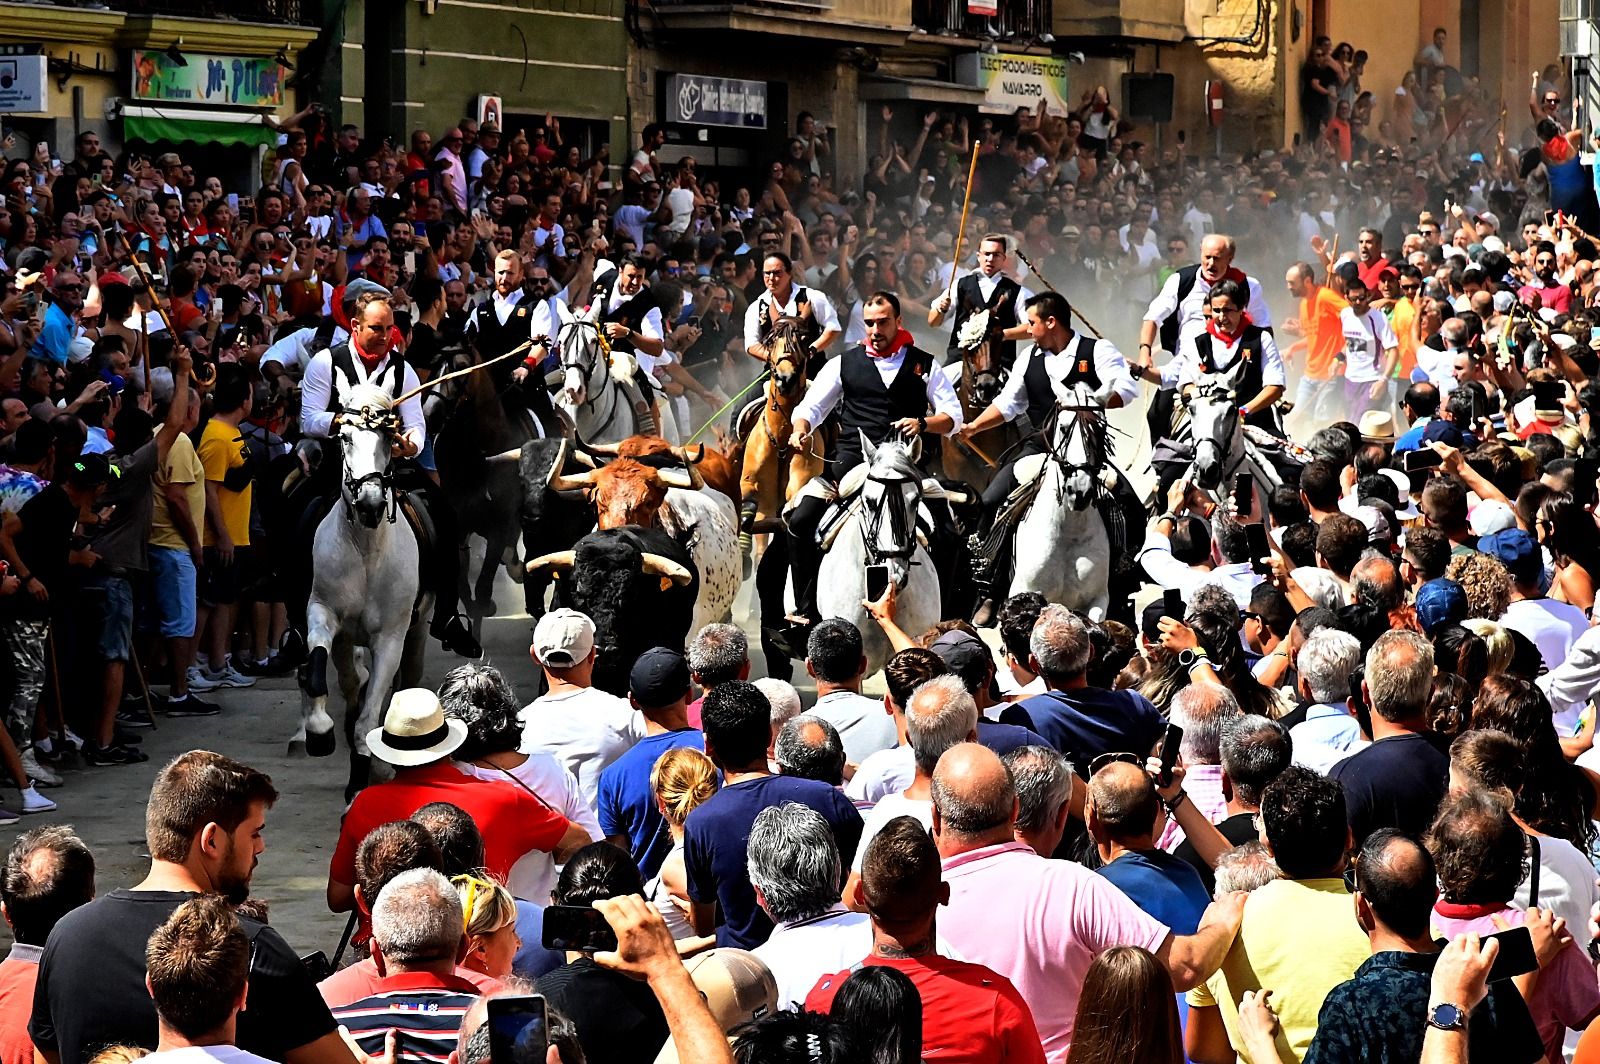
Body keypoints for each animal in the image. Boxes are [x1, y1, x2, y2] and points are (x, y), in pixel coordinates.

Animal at [291, 382, 432, 796]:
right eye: (345, 437)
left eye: (389, 437)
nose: (369, 503)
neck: (366, 548)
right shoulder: (323, 613)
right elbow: (317, 668)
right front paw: (319, 731)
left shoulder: (391, 636)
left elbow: (369, 719)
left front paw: (370, 774)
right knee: (348, 683)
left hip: (419, 630)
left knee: (402, 684)